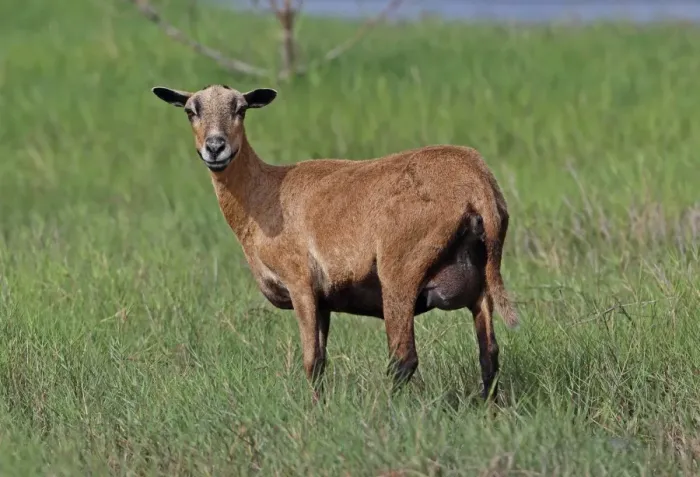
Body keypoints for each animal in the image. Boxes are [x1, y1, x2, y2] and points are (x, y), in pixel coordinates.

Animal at [150, 83, 519, 401]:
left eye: (240, 109)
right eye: (191, 111)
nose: (215, 148)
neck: (263, 195)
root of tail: (477, 184)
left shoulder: (300, 283)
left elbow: (311, 361)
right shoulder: (324, 299)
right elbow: (322, 360)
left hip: (400, 270)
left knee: (403, 359)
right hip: (480, 279)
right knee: (489, 356)